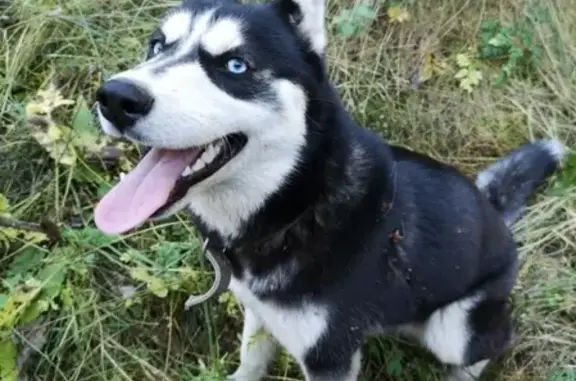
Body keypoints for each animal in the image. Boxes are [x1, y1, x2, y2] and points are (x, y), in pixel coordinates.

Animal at [92, 1, 564, 378]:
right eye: (157, 46)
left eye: (235, 65)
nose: (115, 97)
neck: (297, 206)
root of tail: (492, 206)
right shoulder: (260, 313)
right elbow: (252, 359)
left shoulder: (327, 354)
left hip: (454, 329)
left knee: (495, 341)